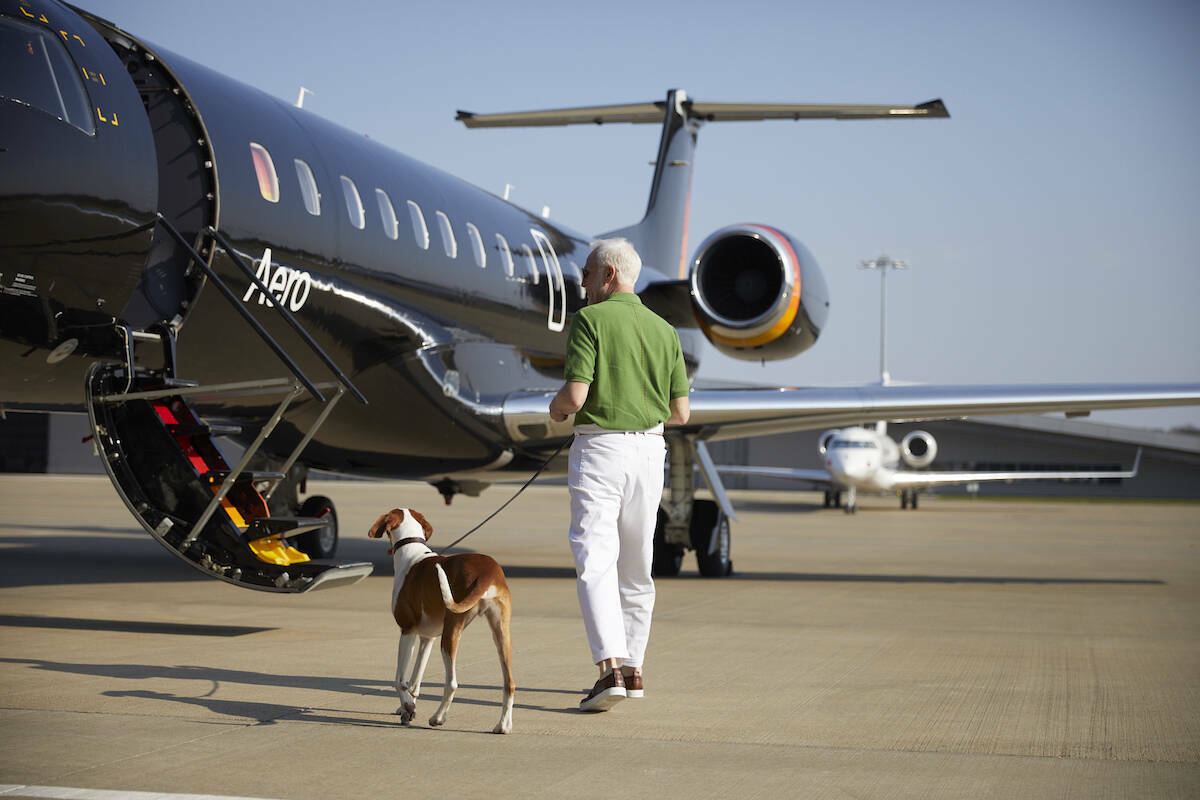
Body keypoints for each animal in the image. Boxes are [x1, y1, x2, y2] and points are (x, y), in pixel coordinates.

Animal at [364, 510, 516, 734]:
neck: (412, 551)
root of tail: (487, 572)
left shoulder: (407, 631)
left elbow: (399, 679)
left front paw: (407, 706)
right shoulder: (427, 638)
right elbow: (414, 681)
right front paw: (407, 708)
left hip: (450, 633)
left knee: (452, 683)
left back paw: (437, 718)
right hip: (501, 634)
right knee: (509, 683)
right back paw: (503, 725)